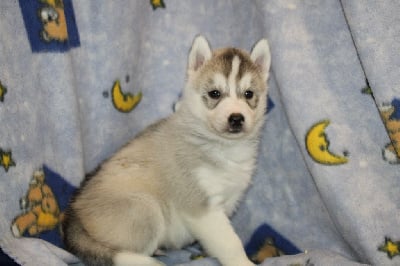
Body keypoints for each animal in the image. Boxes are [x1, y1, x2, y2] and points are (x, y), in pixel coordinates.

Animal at [63, 35, 272, 266]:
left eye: (249, 94)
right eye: (215, 93)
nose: (236, 118)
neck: (222, 147)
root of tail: (74, 214)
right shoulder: (202, 206)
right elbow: (230, 242)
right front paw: (243, 262)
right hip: (147, 209)